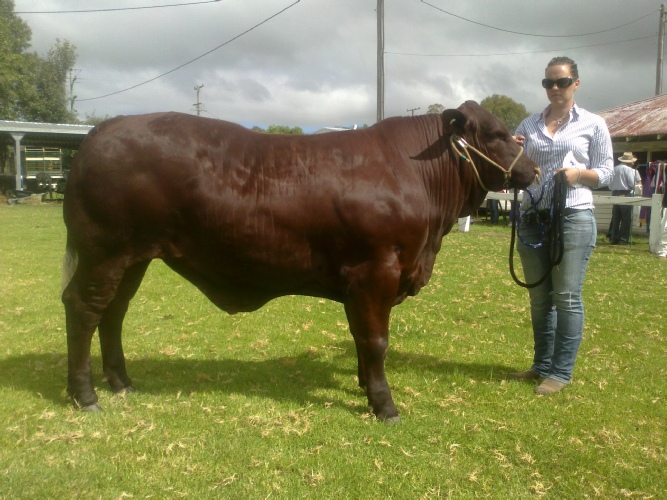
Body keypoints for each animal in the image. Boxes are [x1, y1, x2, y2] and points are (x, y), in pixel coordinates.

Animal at [61, 101, 539, 422]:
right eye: (496, 134)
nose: (534, 171)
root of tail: (103, 129)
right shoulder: (375, 271)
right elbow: (375, 341)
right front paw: (384, 405)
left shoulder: (362, 284)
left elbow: (361, 338)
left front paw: (364, 386)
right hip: (103, 252)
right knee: (84, 308)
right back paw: (85, 396)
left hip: (133, 257)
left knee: (113, 312)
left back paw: (121, 383)